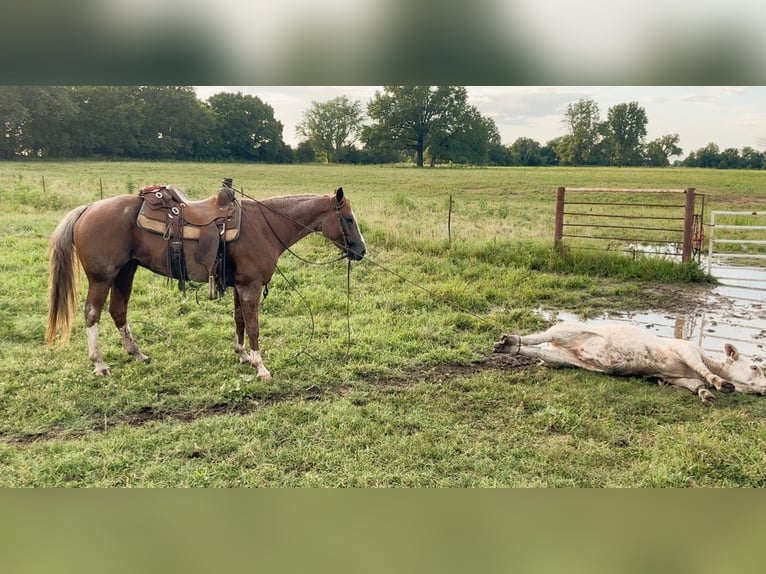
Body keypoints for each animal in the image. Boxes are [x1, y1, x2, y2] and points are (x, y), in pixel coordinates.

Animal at [46, 185, 366, 379]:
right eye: (349, 219)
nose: (361, 251)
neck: (264, 226)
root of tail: (88, 208)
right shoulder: (250, 286)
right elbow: (253, 326)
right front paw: (260, 366)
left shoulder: (240, 286)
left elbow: (239, 320)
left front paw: (242, 355)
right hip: (102, 277)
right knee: (92, 314)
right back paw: (99, 363)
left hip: (126, 271)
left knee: (118, 311)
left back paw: (137, 354)